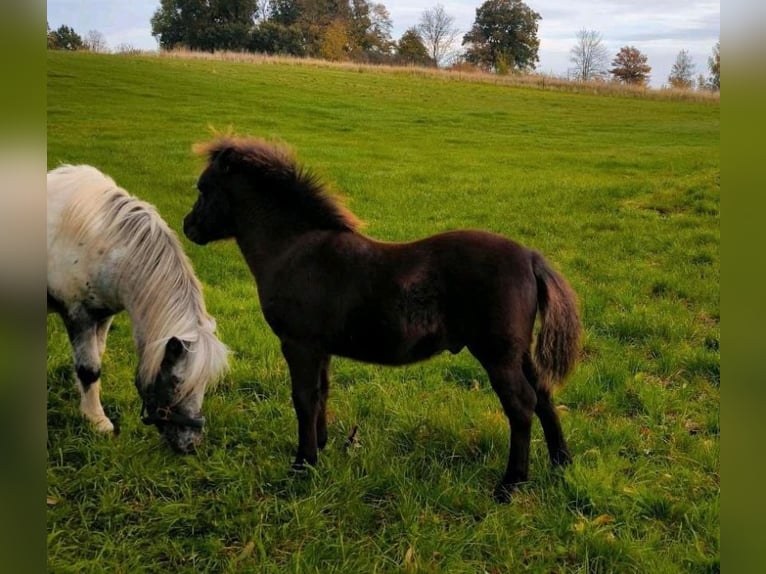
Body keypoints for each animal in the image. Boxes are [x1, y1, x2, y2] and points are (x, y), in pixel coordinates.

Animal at [46, 165, 228, 454]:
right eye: (176, 381)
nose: (190, 445)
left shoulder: (103, 315)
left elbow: (95, 358)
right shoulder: (79, 315)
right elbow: (89, 369)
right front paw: (98, 421)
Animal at [184, 137, 584, 502]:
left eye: (204, 188)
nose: (189, 227)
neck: (293, 250)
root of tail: (530, 258)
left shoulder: (298, 345)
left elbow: (303, 398)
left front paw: (303, 463)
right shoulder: (320, 348)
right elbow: (321, 392)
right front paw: (322, 446)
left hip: (497, 354)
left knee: (521, 405)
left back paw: (510, 485)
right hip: (519, 352)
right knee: (544, 394)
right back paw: (560, 463)